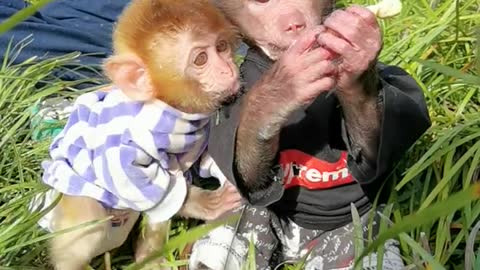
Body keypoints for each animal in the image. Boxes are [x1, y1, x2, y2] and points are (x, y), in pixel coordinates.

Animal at [35, 0, 242, 268]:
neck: (171, 106)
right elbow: (129, 174)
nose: (229, 70)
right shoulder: (135, 136)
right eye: (201, 59)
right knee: (89, 214)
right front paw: (207, 204)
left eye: (222, 46)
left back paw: (148, 258)